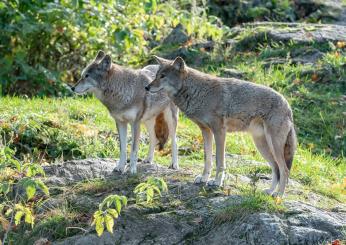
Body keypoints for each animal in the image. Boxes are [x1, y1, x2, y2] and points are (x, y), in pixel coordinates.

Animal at [146, 56, 298, 197]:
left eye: (163, 76)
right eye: (156, 75)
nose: (147, 87)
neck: (198, 92)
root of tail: (288, 106)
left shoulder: (219, 131)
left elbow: (220, 161)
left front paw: (217, 182)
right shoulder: (206, 131)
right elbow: (208, 159)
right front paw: (204, 178)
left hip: (273, 146)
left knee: (284, 170)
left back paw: (279, 196)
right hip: (262, 146)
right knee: (276, 168)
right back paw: (270, 191)